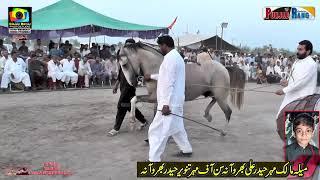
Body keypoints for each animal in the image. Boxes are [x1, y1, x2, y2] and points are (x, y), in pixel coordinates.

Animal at [117, 42, 245, 135]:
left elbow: (134, 99)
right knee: (213, 101)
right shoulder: (158, 99)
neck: (158, 68)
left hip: (220, 96)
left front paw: (132, 121)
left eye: (124, 65)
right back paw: (207, 115)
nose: (132, 83)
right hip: (213, 93)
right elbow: (136, 101)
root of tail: (224, 67)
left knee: (228, 112)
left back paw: (223, 131)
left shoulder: (153, 97)